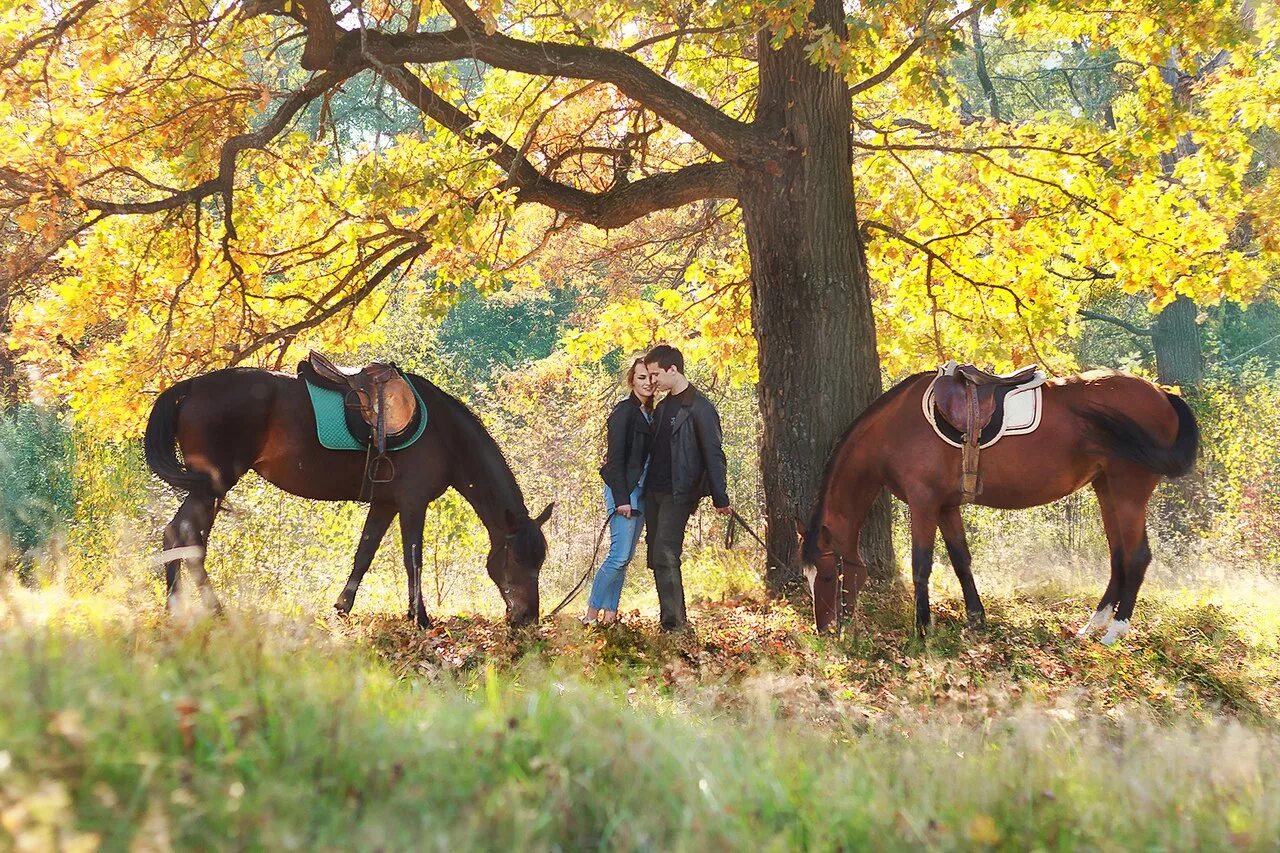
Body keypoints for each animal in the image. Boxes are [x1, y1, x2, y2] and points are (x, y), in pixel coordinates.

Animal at [146, 366, 555, 625]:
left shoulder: (386, 504)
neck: (444, 433)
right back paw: (205, 610)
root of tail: (191, 388)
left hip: (209, 488)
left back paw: (181, 609)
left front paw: (342, 608)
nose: (527, 619)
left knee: (181, 536)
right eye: (517, 559)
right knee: (184, 536)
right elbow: (414, 560)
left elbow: (364, 555)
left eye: (540, 561)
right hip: (213, 485)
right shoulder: (413, 503)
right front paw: (420, 618)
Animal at [798, 368, 1198, 640]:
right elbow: (961, 561)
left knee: (1137, 556)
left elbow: (921, 565)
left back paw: (1115, 631)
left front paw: (922, 626)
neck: (895, 428)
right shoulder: (947, 506)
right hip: (1107, 489)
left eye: (829, 574)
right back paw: (1092, 625)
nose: (824, 628)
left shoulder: (924, 502)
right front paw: (976, 618)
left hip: (1129, 490)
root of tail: (1162, 394)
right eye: (807, 576)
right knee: (1119, 556)